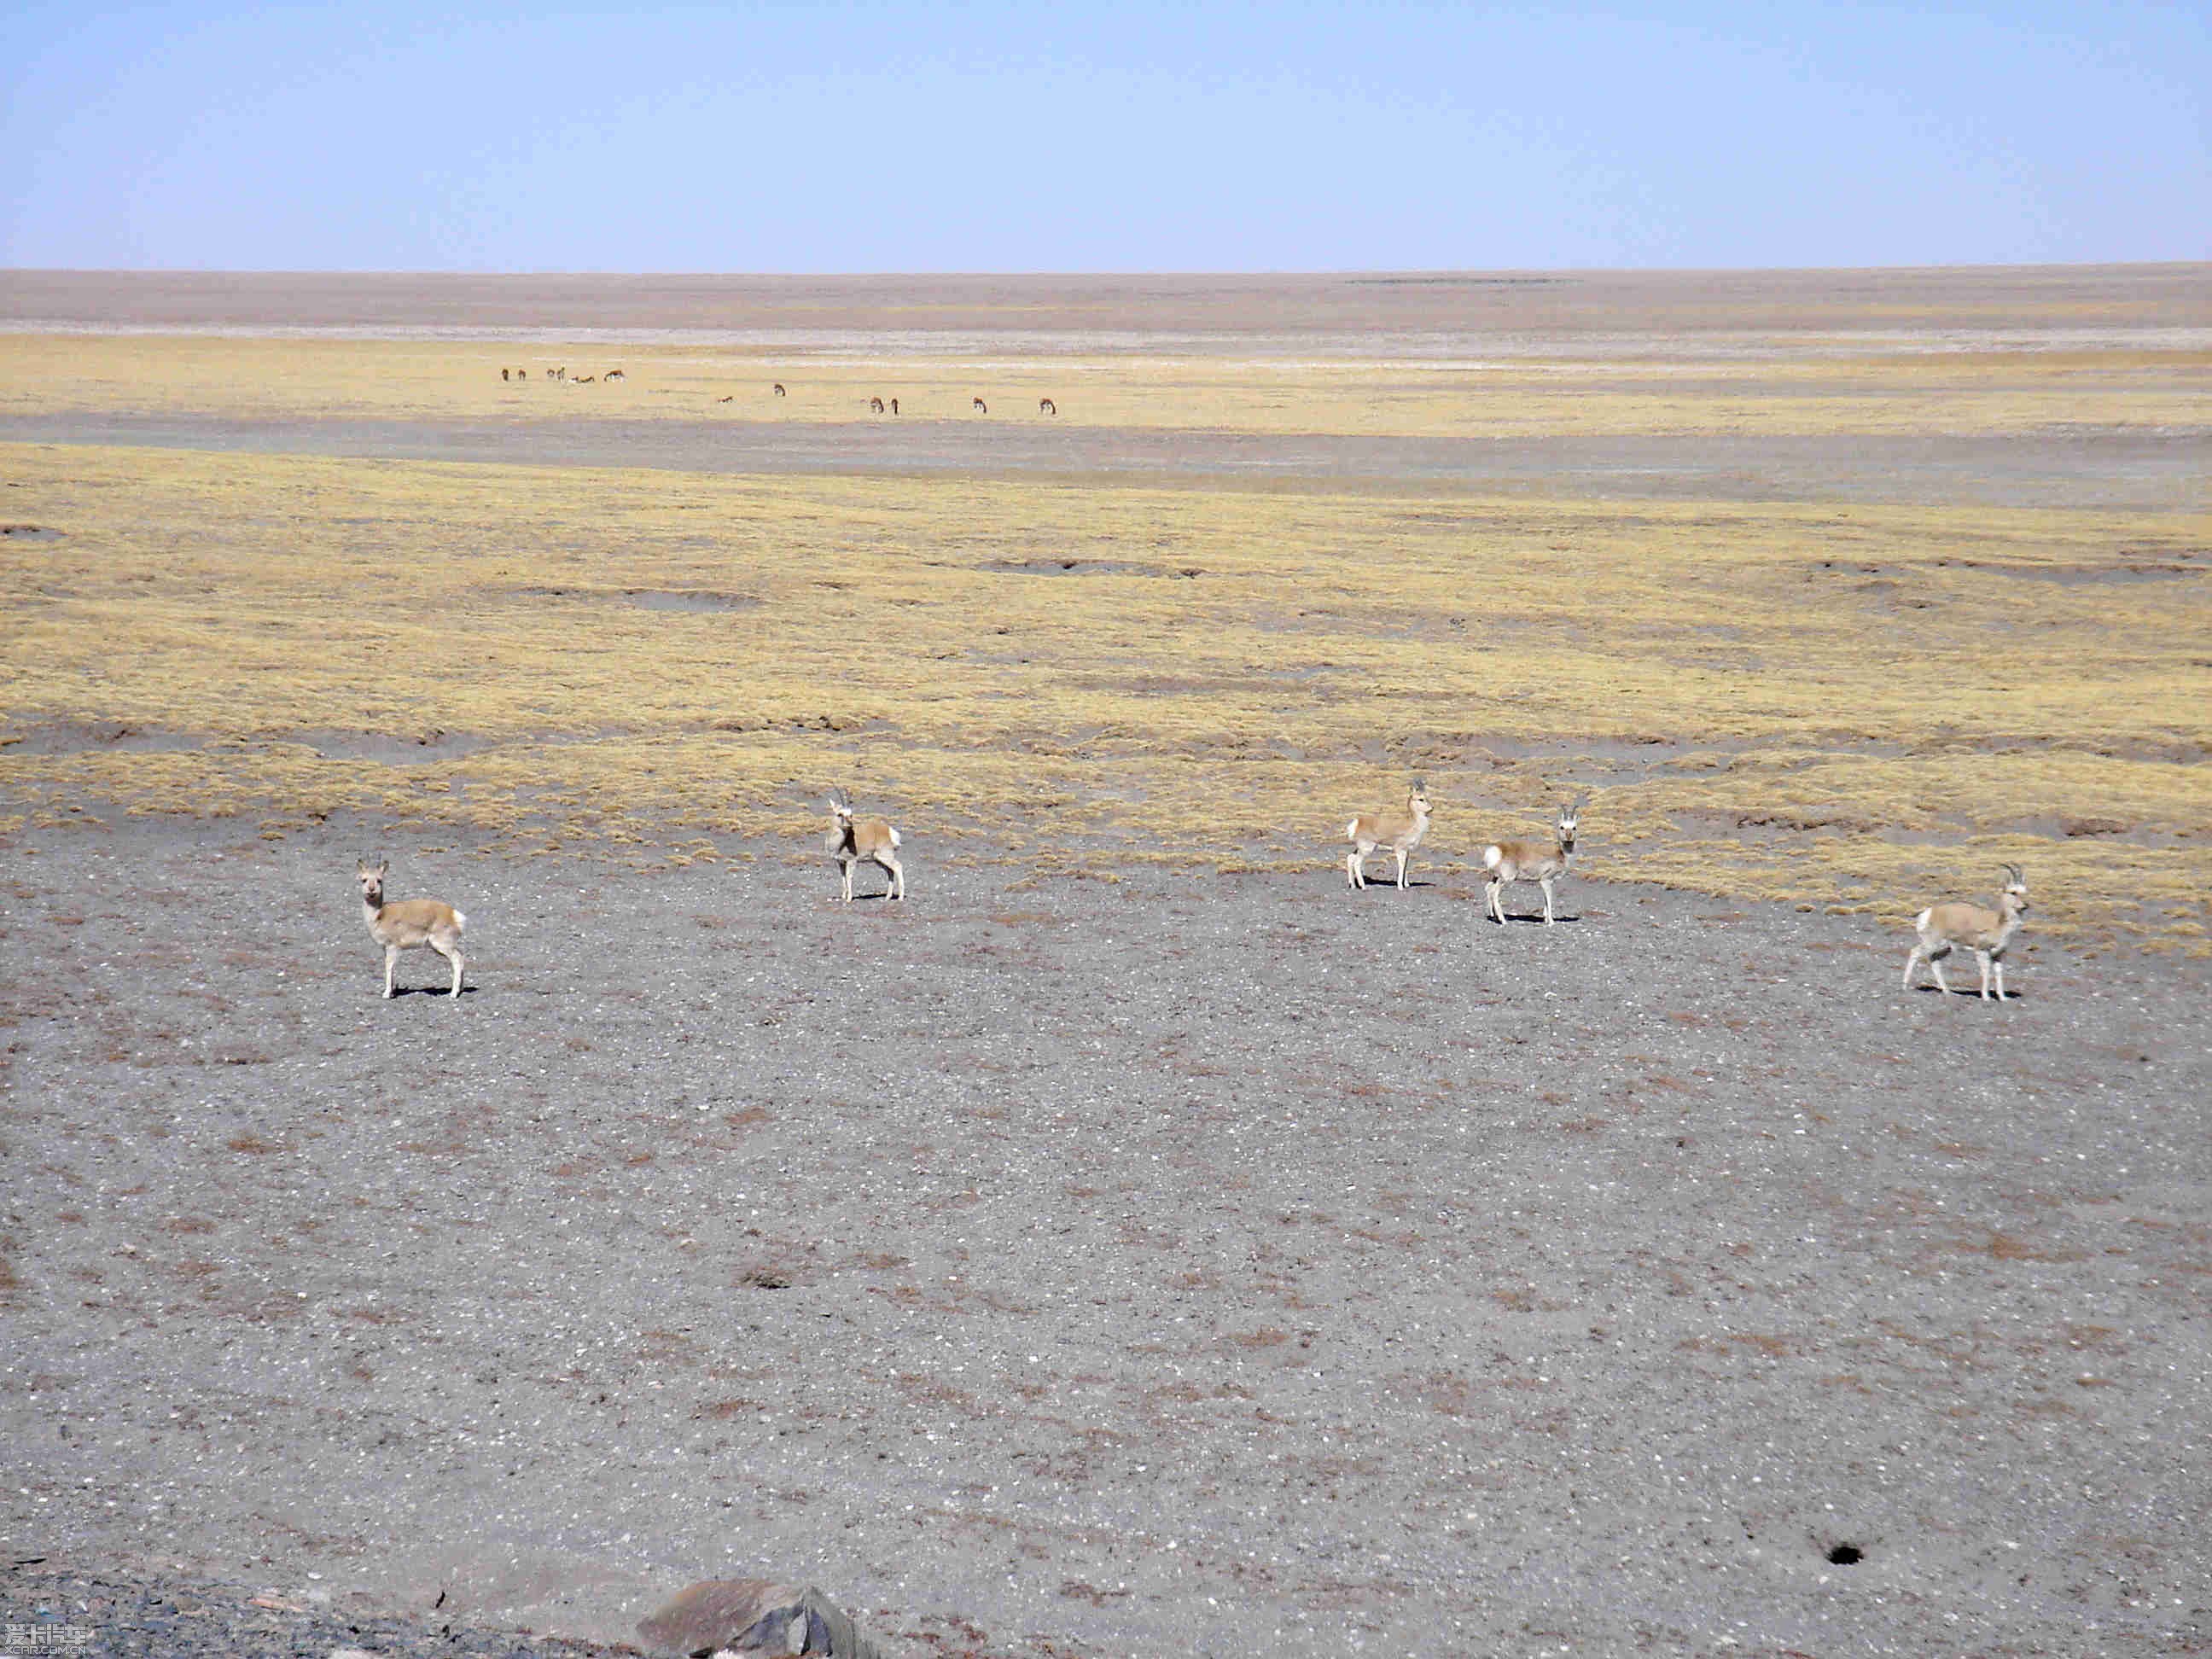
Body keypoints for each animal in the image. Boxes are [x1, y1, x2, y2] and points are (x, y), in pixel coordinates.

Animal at [356, 858, 464, 999]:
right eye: (364, 879)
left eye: (380, 880)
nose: (371, 890)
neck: (380, 915)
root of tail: (453, 913)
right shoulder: (385, 948)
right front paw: (392, 991)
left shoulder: (393, 947)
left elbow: (389, 966)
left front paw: (386, 994)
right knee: (461, 957)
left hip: (442, 945)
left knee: (457, 959)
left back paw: (453, 994)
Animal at [1477, 800, 1583, 928]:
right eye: (1561, 827)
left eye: (1574, 827)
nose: (1568, 837)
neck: (1561, 854)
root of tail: (1496, 849)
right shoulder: (1545, 880)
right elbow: (1549, 899)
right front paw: (1551, 922)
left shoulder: (1547, 882)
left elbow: (1545, 899)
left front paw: (1545, 919)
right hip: (1506, 880)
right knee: (1494, 893)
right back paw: (1503, 920)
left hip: (1495, 877)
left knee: (1488, 888)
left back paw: (1493, 916)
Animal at [1902, 871, 2034, 999]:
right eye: (2013, 892)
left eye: (2025, 891)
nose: (2026, 905)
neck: (1999, 924)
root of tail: (1929, 912)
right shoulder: (1981, 950)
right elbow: (1986, 970)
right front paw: (1986, 996)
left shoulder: (1998, 954)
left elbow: (1998, 972)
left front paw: (2002, 997)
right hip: (1932, 944)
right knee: (1915, 952)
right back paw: (1905, 986)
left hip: (1945, 948)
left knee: (1934, 961)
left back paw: (1947, 991)